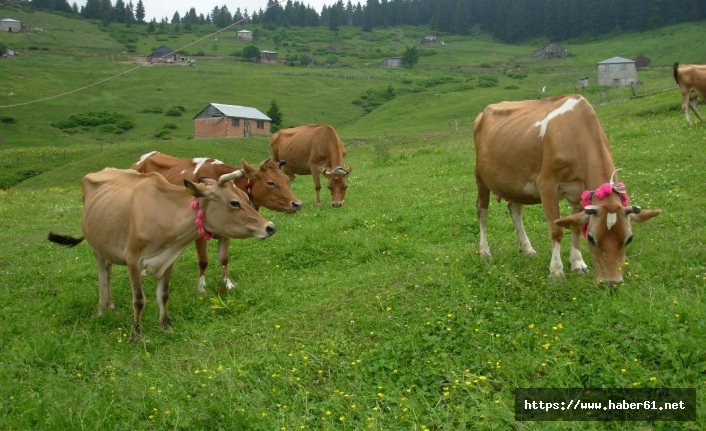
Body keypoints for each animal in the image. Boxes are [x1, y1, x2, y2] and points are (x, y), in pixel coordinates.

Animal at [48, 167, 276, 340]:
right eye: (234, 203)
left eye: (246, 197)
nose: (270, 227)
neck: (165, 215)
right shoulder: (133, 259)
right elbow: (139, 299)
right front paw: (136, 333)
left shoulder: (168, 259)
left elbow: (163, 295)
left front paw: (166, 325)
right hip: (96, 247)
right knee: (103, 275)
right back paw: (101, 309)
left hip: (108, 245)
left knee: (110, 270)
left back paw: (111, 304)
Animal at [131, 152, 302, 294]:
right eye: (270, 182)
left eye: (287, 180)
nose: (297, 204)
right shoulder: (199, 234)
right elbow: (203, 261)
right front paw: (201, 288)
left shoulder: (228, 232)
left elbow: (224, 259)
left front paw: (228, 284)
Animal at [472, 94, 660, 284]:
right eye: (591, 238)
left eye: (629, 239)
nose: (612, 282)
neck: (576, 133)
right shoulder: (547, 185)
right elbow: (556, 230)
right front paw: (556, 272)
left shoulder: (579, 192)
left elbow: (575, 226)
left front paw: (577, 263)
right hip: (480, 176)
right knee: (482, 212)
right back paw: (485, 252)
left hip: (516, 184)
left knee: (515, 211)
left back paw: (527, 249)